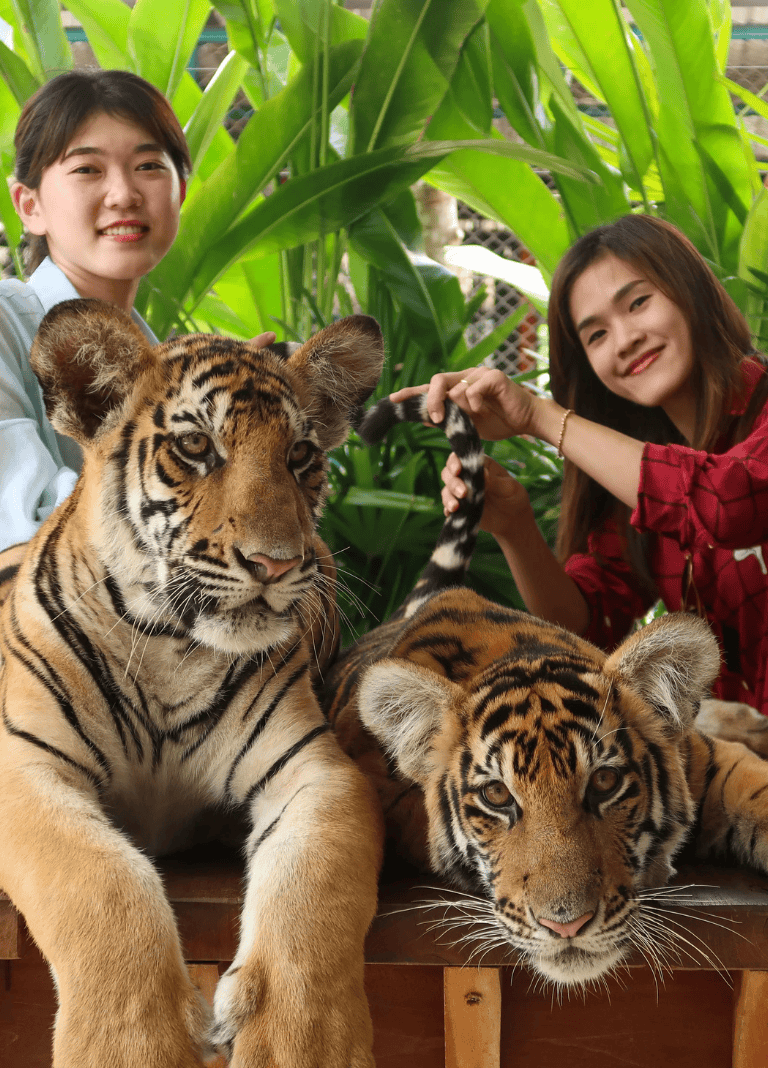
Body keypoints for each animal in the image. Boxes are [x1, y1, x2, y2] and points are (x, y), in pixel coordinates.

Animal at [0, 298, 385, 1068]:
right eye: (196, 447)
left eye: (301, 456)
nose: (276, 563)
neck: (167, 646)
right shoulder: (25, 767)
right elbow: (100, 880)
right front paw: (130, 1048)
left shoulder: (316, 770)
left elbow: (314, 886)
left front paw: (304, 1043)